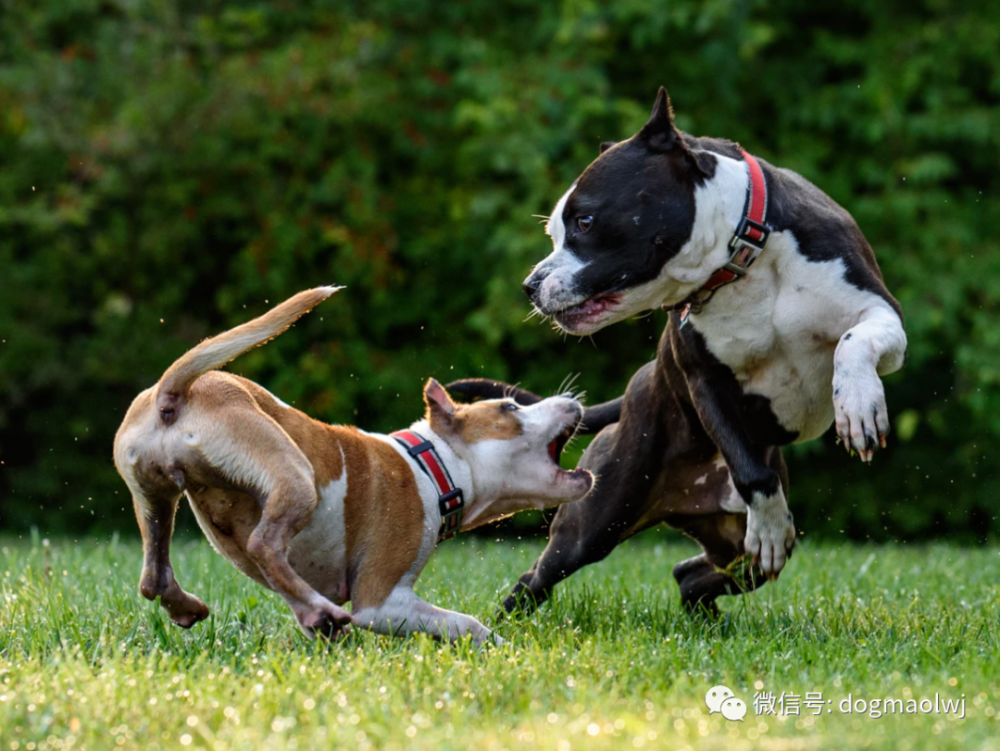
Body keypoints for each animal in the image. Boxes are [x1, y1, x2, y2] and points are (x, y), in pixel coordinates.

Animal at [113, 288, 588, 648]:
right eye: (510, 408)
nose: (573, 399)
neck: (432, 464)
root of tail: (173, 393)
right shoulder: (382, 602)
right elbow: (465, 623)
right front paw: (504, 649)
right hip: (293, 474)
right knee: (263, 543)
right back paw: (320, 611)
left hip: (154, 497)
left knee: (154, 575)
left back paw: (199, 607)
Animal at [454, 89, 908, 616]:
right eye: (554, 233)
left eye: (585, 221)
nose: (530, 285)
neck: (743, 259)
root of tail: (638, 382)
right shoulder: (704, 381)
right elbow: (751, 472)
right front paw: (771, 523)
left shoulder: (880, 312)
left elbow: (854, 344)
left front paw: (858, 405)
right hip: (597, 519)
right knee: (539, 576)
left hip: (731, 547)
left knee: (693, 573)